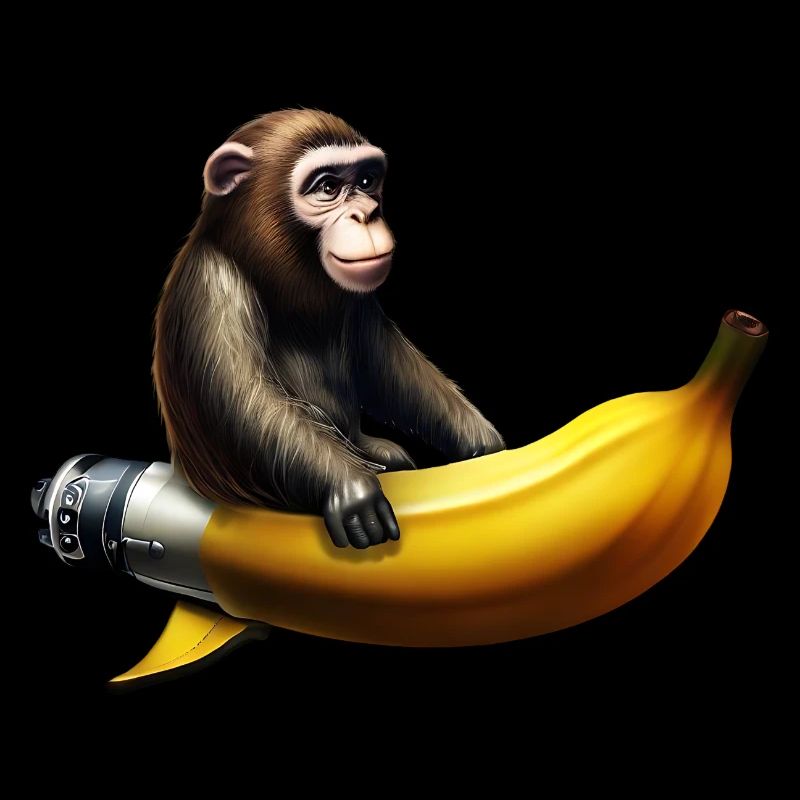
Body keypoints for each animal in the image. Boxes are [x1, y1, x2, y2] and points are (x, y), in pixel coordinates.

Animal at [154, 109, 504, 549]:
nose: (366, 213)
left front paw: (479, 441)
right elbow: (241, 396)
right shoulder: (210, 284)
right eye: (328, 188)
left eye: (367, 182)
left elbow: (386, 361)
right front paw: (352, 487)